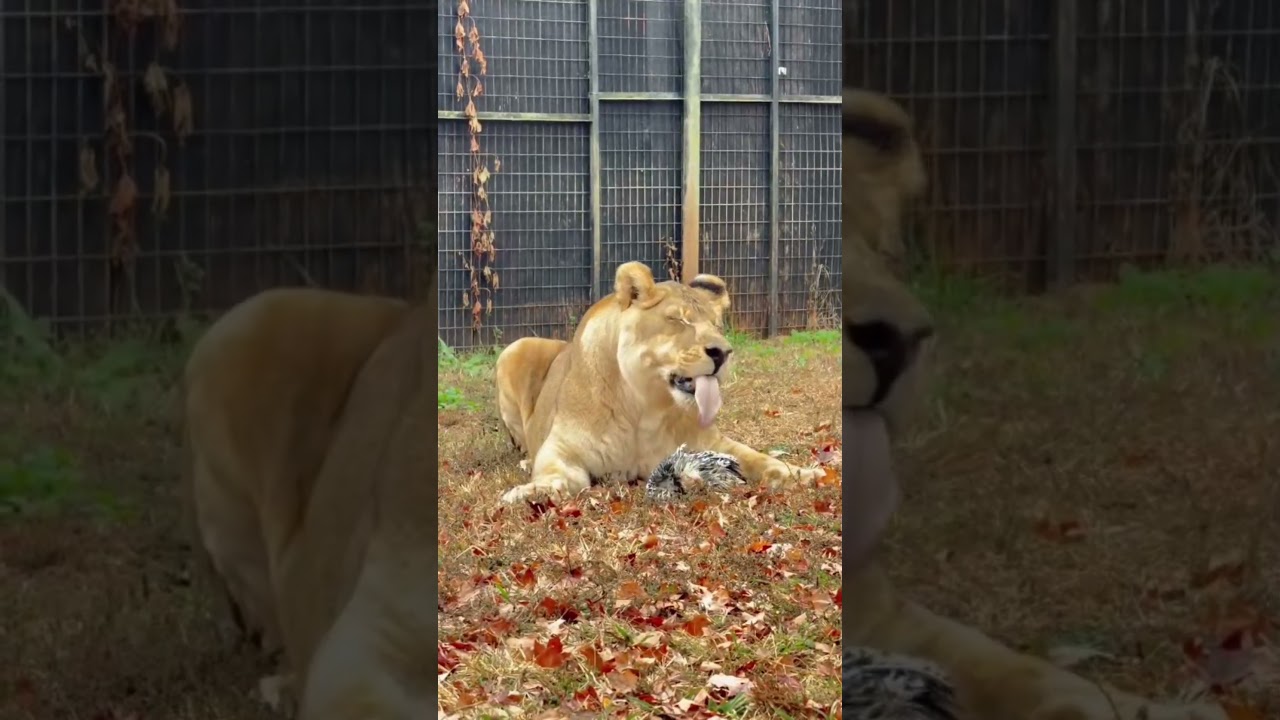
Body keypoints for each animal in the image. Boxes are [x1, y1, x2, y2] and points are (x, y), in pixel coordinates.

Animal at [493, 262, 825, 505]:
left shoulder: (713, 443)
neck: (644, 407)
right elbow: (554, 476)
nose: (722, 353)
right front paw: (532, 492)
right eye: (679, 320)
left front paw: (804, 474)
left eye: (716, 325)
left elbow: (761, 460)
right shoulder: (563, 449)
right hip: (515, 349)